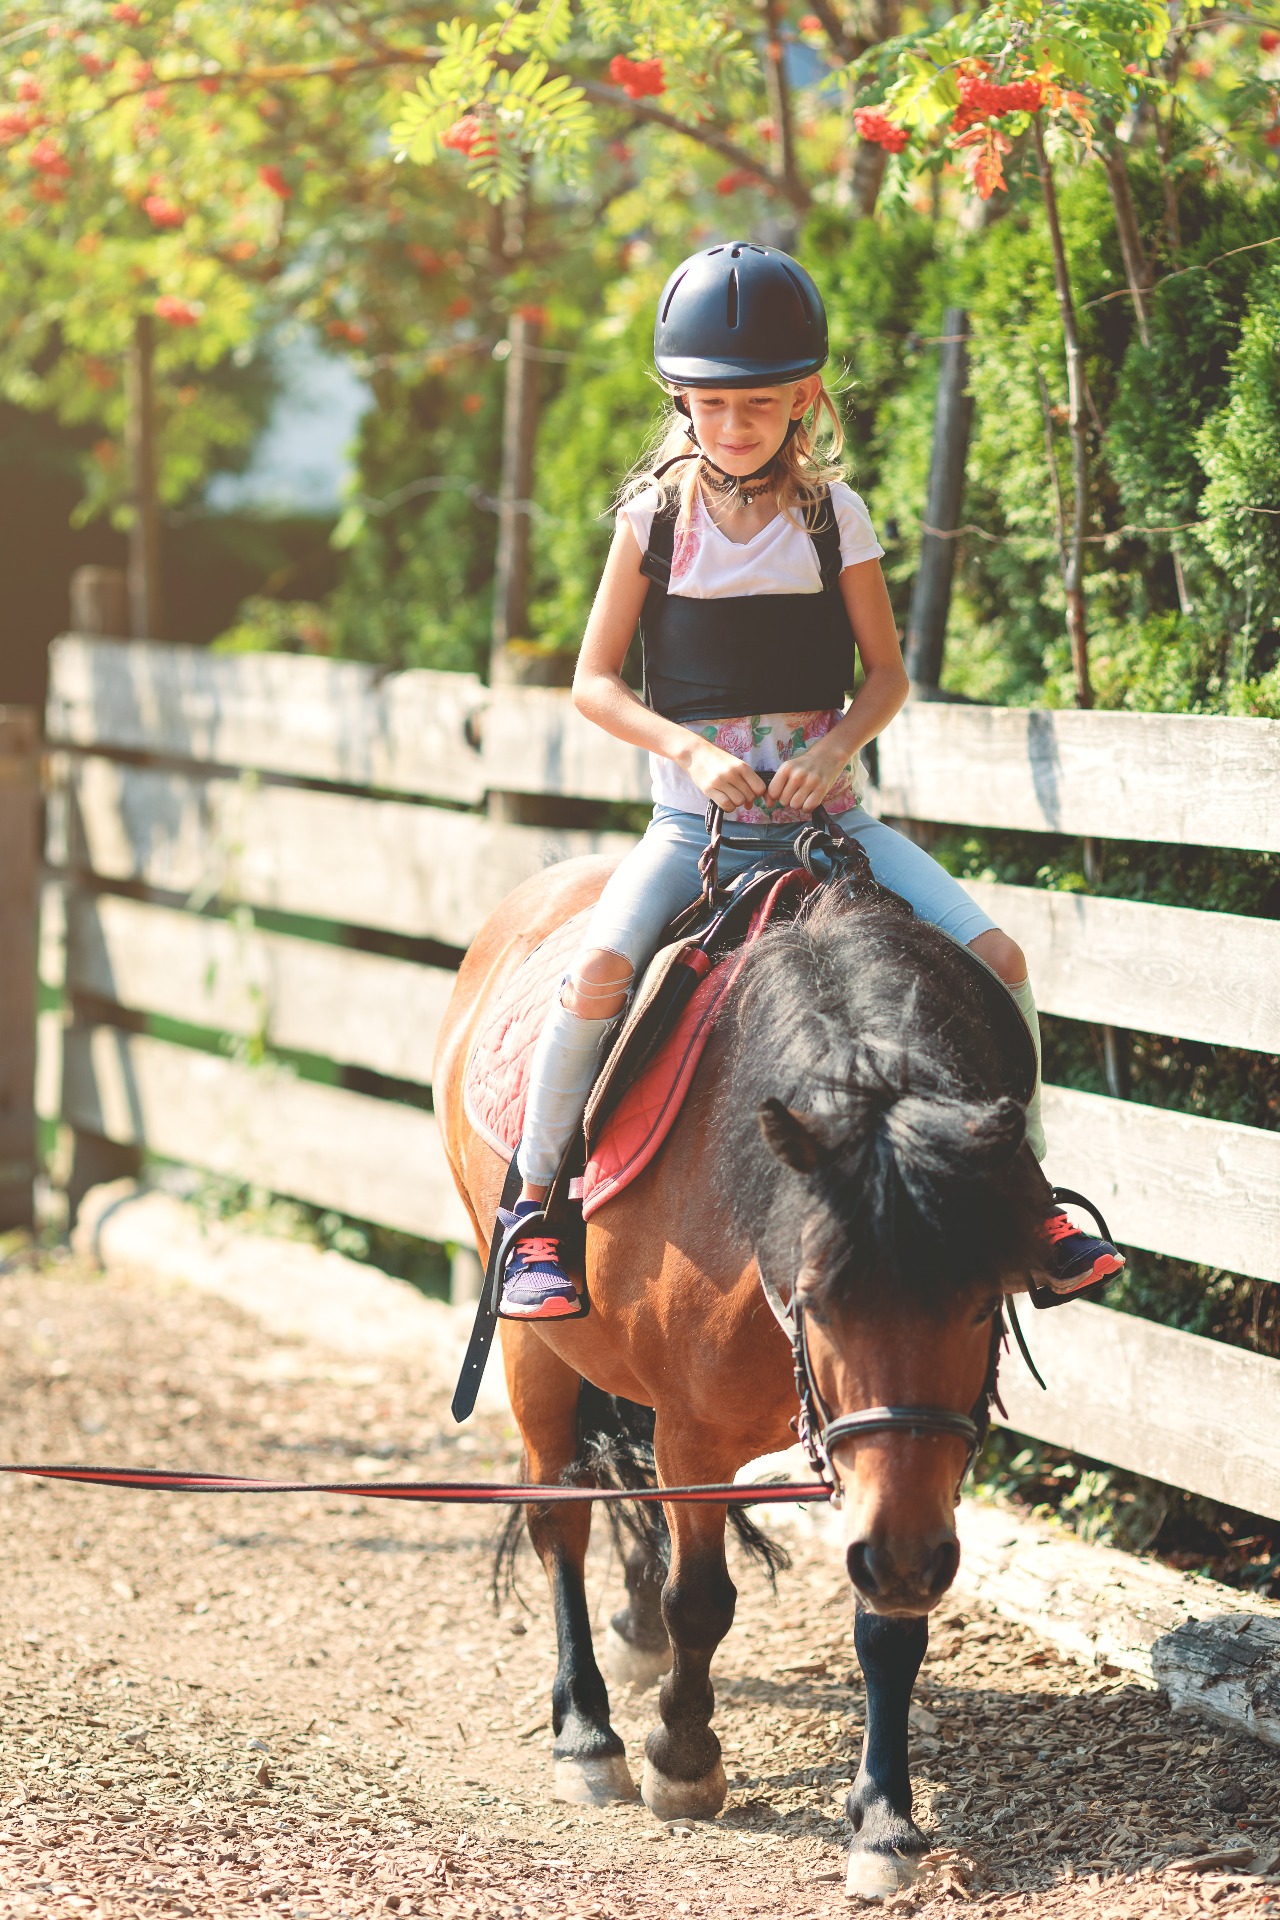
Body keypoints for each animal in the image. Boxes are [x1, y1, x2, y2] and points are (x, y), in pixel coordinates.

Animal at [435, 852, 1047, 1899]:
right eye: (818, 1302)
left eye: (977, 1305)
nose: (904, 1555)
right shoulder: (697, 1435)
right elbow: (702, 1601)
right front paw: (681, 1760)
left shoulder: (917, 1464)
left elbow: (890, 1623)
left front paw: (885, 1823)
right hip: (529, 1347)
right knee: (559, 1514)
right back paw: (585, 1732)